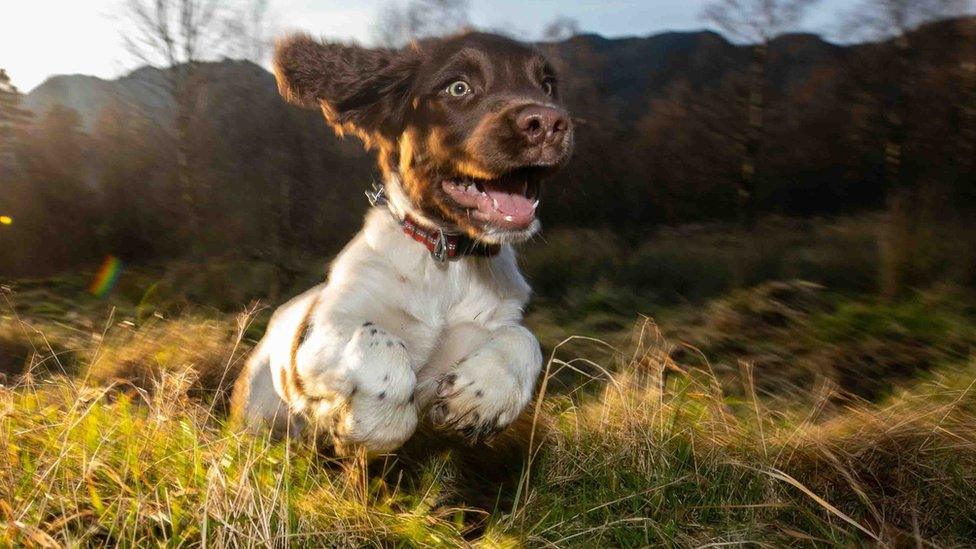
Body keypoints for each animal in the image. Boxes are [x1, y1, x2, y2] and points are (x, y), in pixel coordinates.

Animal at [231, 30, 572, 454]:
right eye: (458, 87)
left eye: (547, 86)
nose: (549, 122)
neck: (447, 256)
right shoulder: (320, 336)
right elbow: (379, 341)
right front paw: (372, 424)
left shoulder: (495, 321)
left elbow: (525, 338)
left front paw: (483, 398)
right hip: (258, 413)